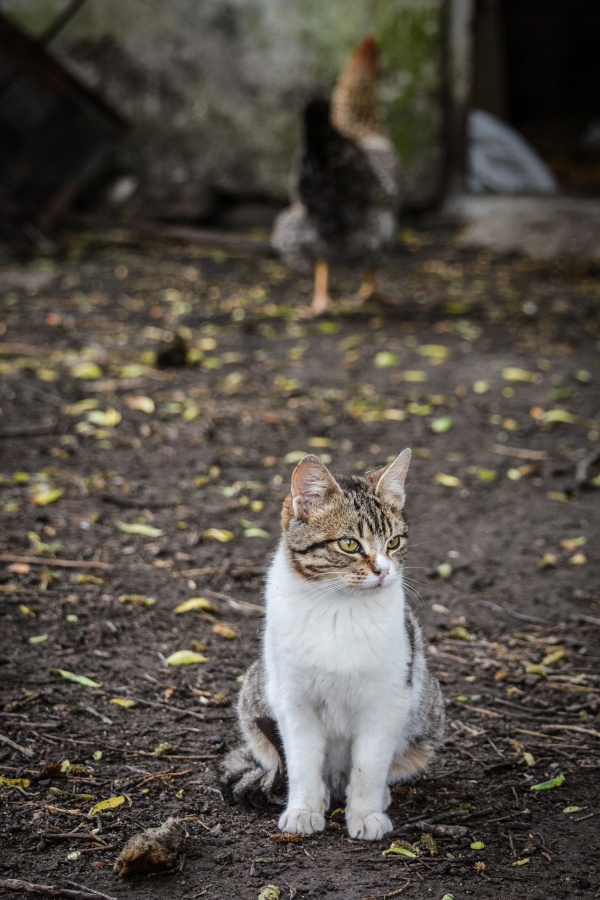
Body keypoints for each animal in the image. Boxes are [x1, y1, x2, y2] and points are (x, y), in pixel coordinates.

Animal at [223, 454, 442, 840]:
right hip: (253, 697)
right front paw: (303, 809)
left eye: (394, 543)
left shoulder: (387, 700)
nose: (384, 571)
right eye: (349, 544)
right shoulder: (293, 700)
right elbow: (302, 762)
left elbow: (369, 765)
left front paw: (366, 814)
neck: (340, 608)